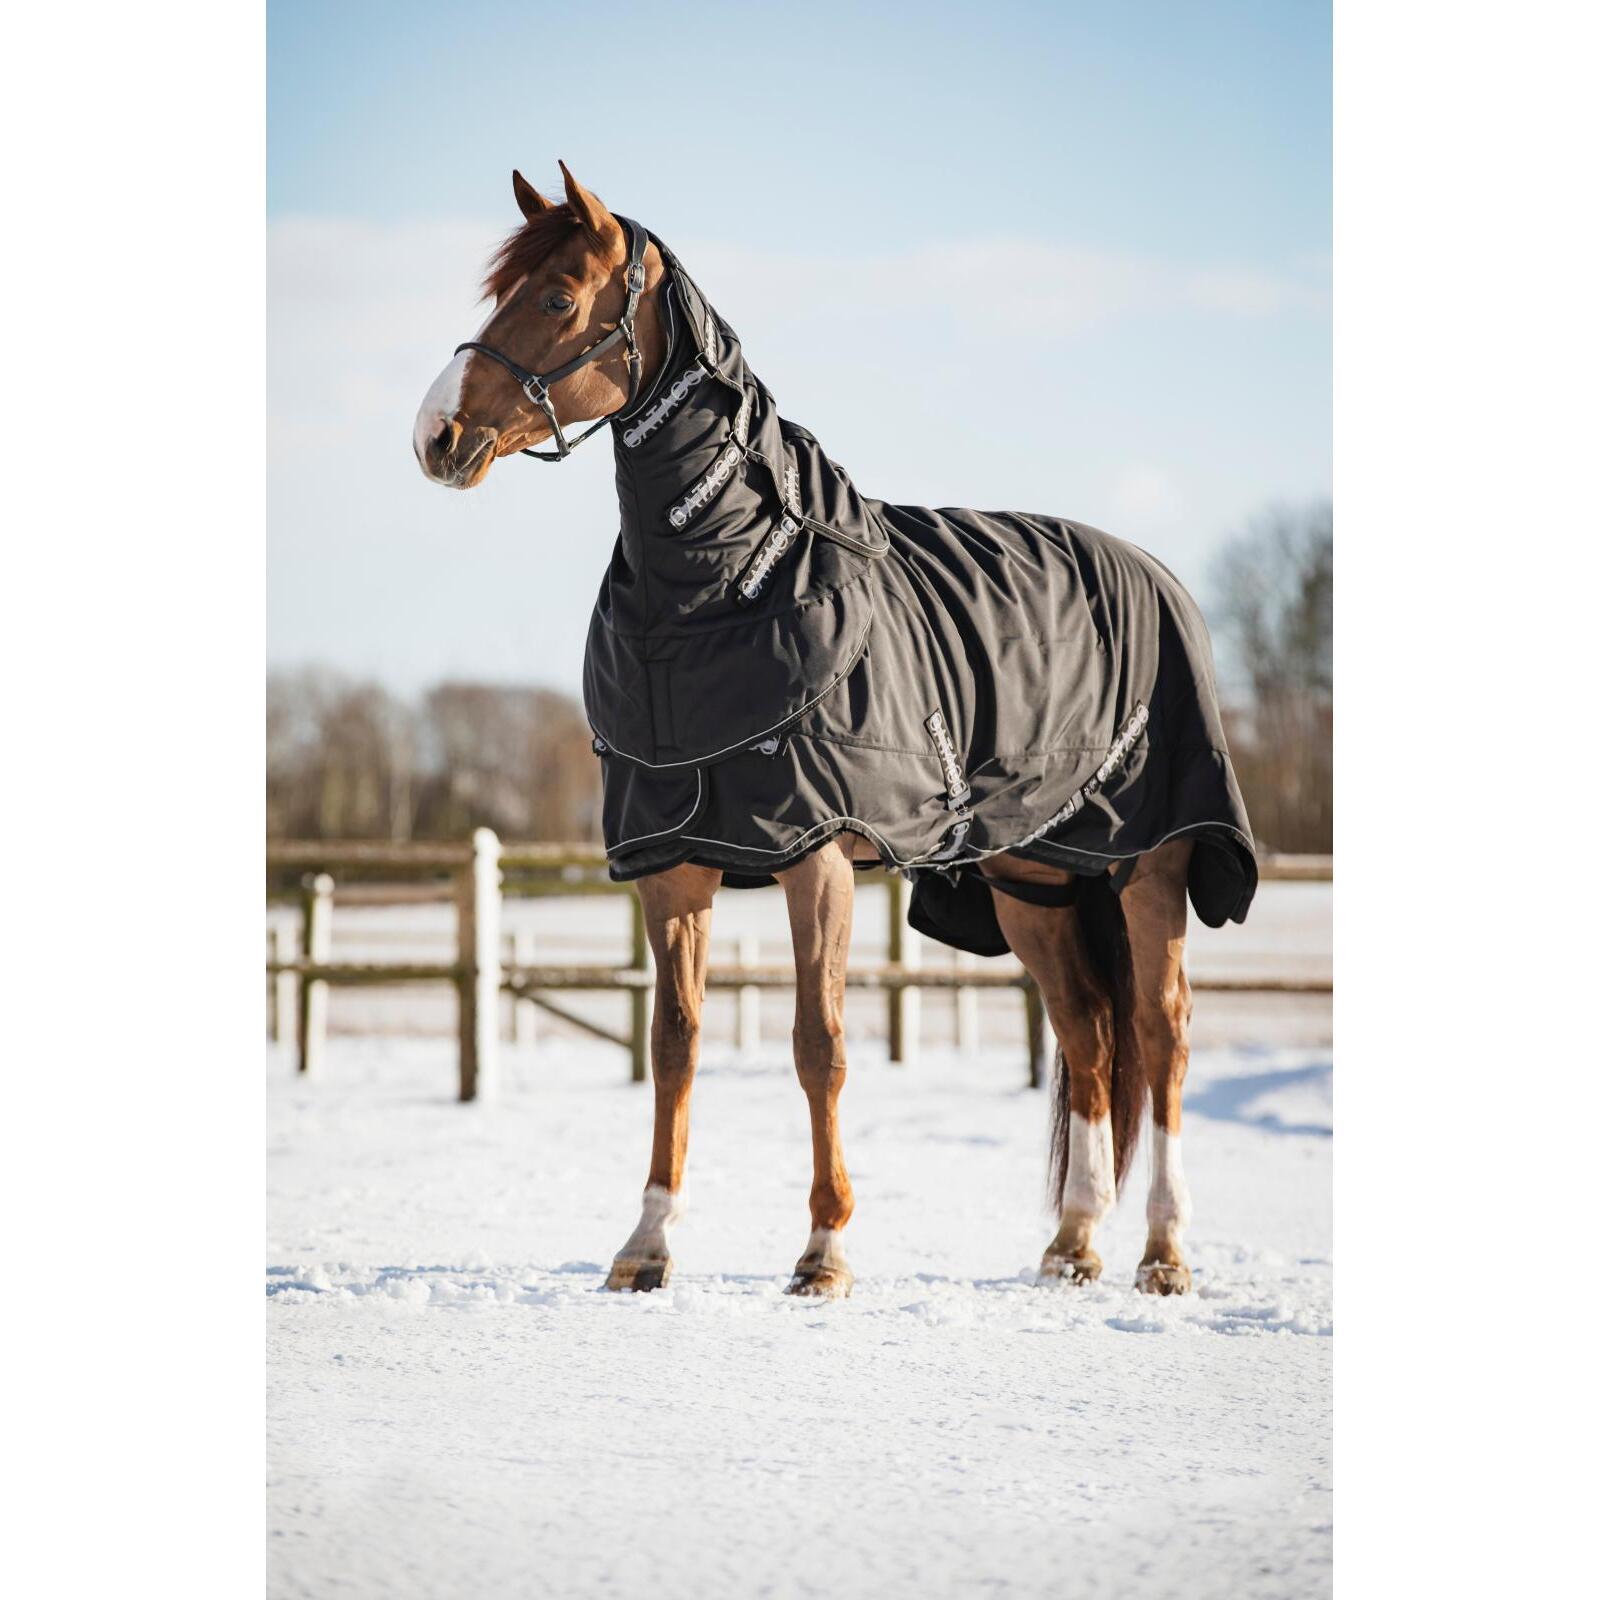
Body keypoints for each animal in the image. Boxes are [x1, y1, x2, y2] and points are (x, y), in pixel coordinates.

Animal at [414, 163, 1258, 1300]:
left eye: (554, 297)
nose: (435, 436)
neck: (727, 588)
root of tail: (1153, 571)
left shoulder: (813, 855)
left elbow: (820, 1042)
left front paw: (824, 1251)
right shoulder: (674, 859)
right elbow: (673, 1041)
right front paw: (647, 1244)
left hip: (1151, 862)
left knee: (1162, 1033)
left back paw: (1163, 1254)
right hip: (1032, 880)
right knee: (1085, 1033)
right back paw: (1072, 1244)